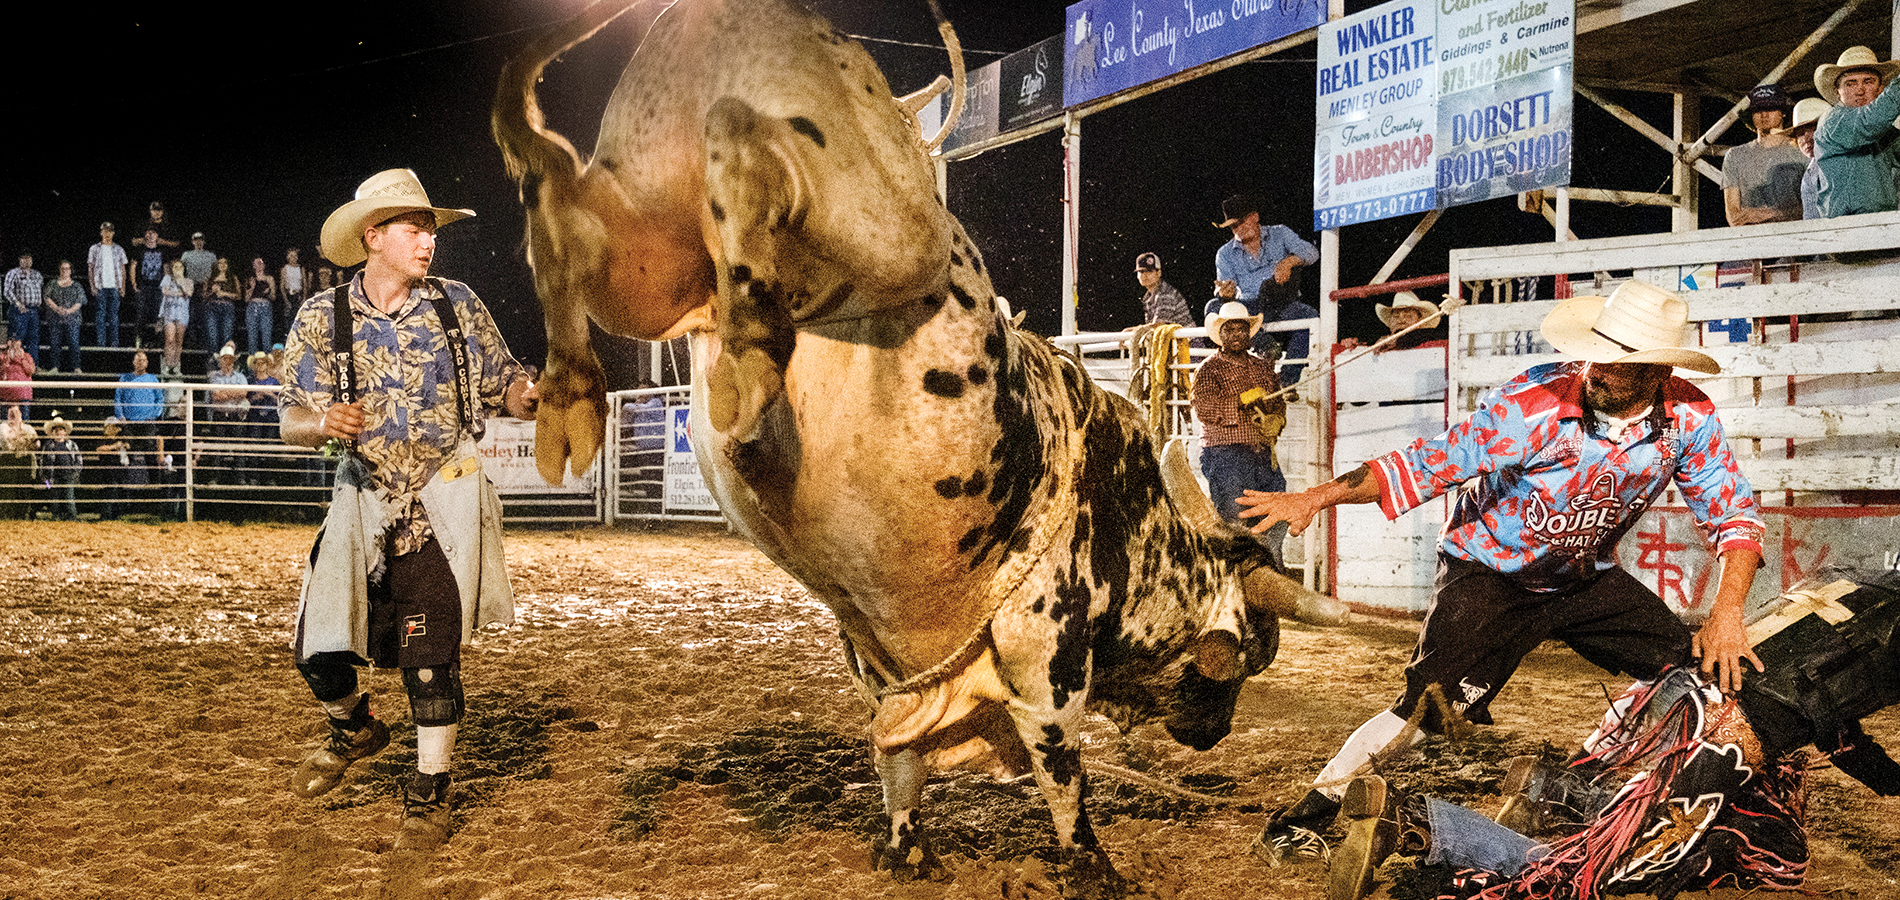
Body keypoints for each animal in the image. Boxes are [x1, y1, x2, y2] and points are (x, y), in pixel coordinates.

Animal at [497, 0, 1345, 888]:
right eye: (1253, 657)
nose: (1215, 733)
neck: (1135, 533)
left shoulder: (889, 672)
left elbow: (897, 761)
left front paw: (907, 848)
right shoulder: (1045, 669)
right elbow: (1062, 777)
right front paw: (1094, 867)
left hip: (653, 252)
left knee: (573, 210)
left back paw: (581, 388)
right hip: (889, 223)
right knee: (744, 141)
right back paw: (745, 330)